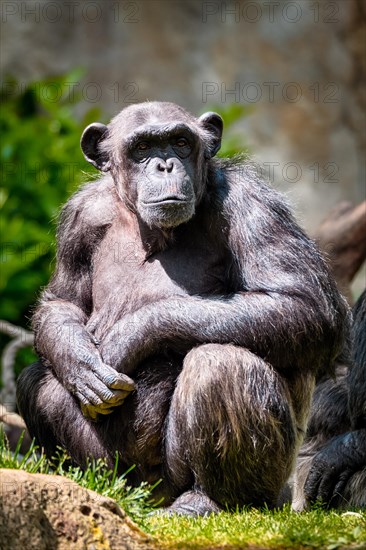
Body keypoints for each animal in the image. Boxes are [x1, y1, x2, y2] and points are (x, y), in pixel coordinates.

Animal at [17, 100, 348, 516]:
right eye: (142, 148)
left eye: (180, 142)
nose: (165, 165)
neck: (149, 227)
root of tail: (151, 497)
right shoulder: (80, 217)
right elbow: (64, 301)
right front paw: (80, 361)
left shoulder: (252, 203)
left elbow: (303, 303)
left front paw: (128, 337)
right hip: (123, 473)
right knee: (36, 379)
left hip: (258, 487)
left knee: (221, 364)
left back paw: (204, 501)